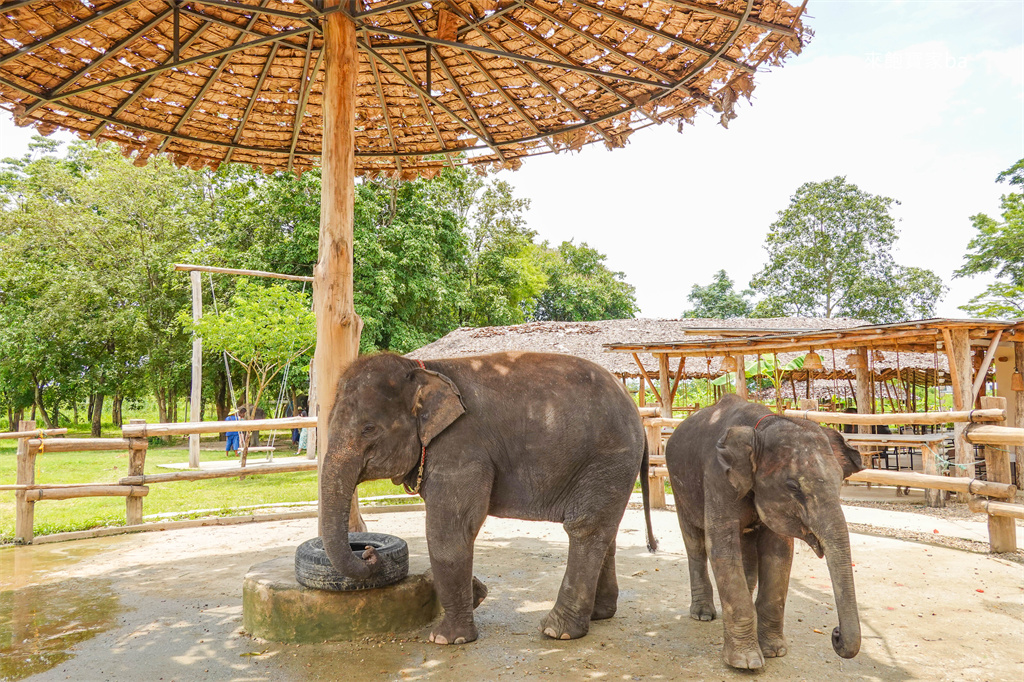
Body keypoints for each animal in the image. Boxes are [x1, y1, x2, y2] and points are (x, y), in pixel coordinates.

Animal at [319, 351, 656, 645]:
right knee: (605, 530)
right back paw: (599, 615)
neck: (422, 367)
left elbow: (450, 530)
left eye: (368, 429)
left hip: (608, 458)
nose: (368, 552)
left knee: (586, 528)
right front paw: (477, 595)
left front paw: (447, 639)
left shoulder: (461, 447)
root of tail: (638, 415)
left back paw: (556, 631)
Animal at [665, 394, 862, 669]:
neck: (762, 428)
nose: (835, 633)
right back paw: (703, 615)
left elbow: (779, 553)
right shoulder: (717, 478)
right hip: (678, 485)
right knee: (695, 544)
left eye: (840, 482)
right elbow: (721, 549)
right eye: (793, 486)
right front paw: (746, 663)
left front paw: (774, 651)